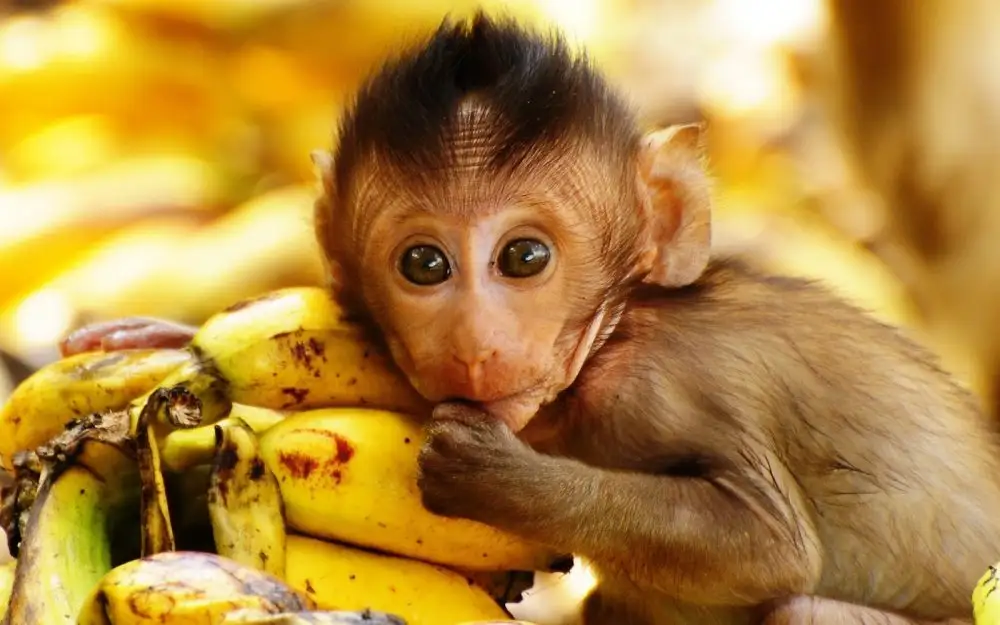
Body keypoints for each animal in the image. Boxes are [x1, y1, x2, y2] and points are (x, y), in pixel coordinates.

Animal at [58, 13, 1000, 625]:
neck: (616, 333)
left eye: (523, 258)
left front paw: (497, 477)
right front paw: (159, 341)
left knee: (799, 607)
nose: (476, 343)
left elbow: (768, 544)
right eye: (424, 264)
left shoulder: (670, 384)